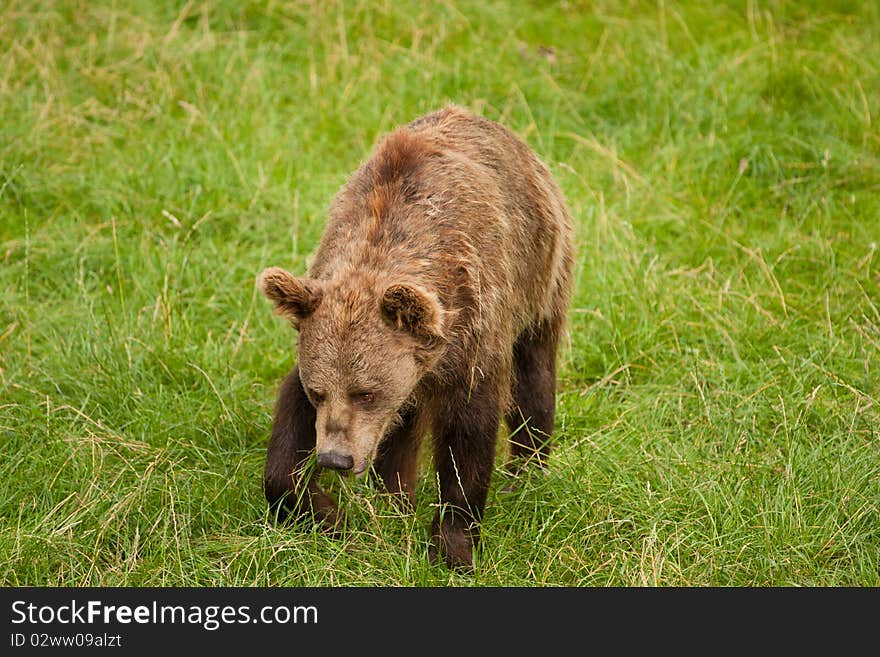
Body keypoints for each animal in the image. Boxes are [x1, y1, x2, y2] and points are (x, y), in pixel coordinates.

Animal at [260, 104, 576, 568]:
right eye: (320, 392)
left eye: (366, 393)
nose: (336, 459)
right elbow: (288, 439)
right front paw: (327, 515)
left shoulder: (473, 324)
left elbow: (468, 431)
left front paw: (454, 544)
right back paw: (394, 500)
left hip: (542, 274)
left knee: (532, 378)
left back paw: (525, 473)